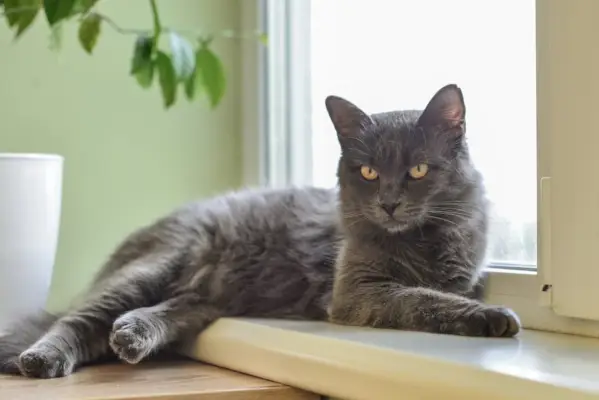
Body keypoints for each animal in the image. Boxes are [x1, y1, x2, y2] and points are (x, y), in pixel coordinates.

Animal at [0, 83, 520, 378]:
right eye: (369, 172)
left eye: (418, 170)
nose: (389, 203)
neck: (421, 240)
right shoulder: (357, 292)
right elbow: (421, 300)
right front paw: (491, 316)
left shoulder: (461, 272)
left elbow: (440, 293)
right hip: (156, 266)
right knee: (77, 319)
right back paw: (41, 359)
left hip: (208, 296)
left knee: (156, 312)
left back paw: (132, 335)